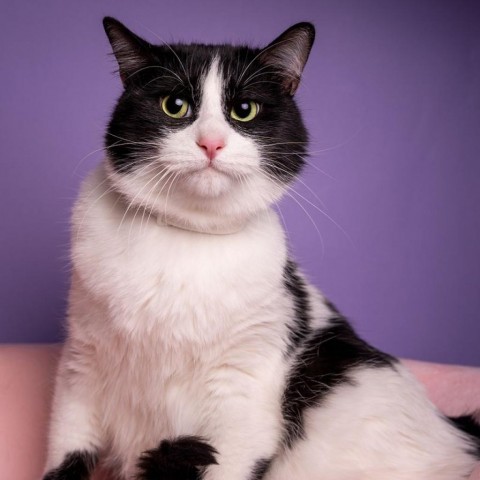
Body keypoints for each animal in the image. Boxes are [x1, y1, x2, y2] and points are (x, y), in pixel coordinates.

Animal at [42, 15, 480, 480]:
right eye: (174, 105)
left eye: (244, 110)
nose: (211, 142)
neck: (187, 238)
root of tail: (457, 433)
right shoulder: (81, 366)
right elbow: (66, 453)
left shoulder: (243, 391)